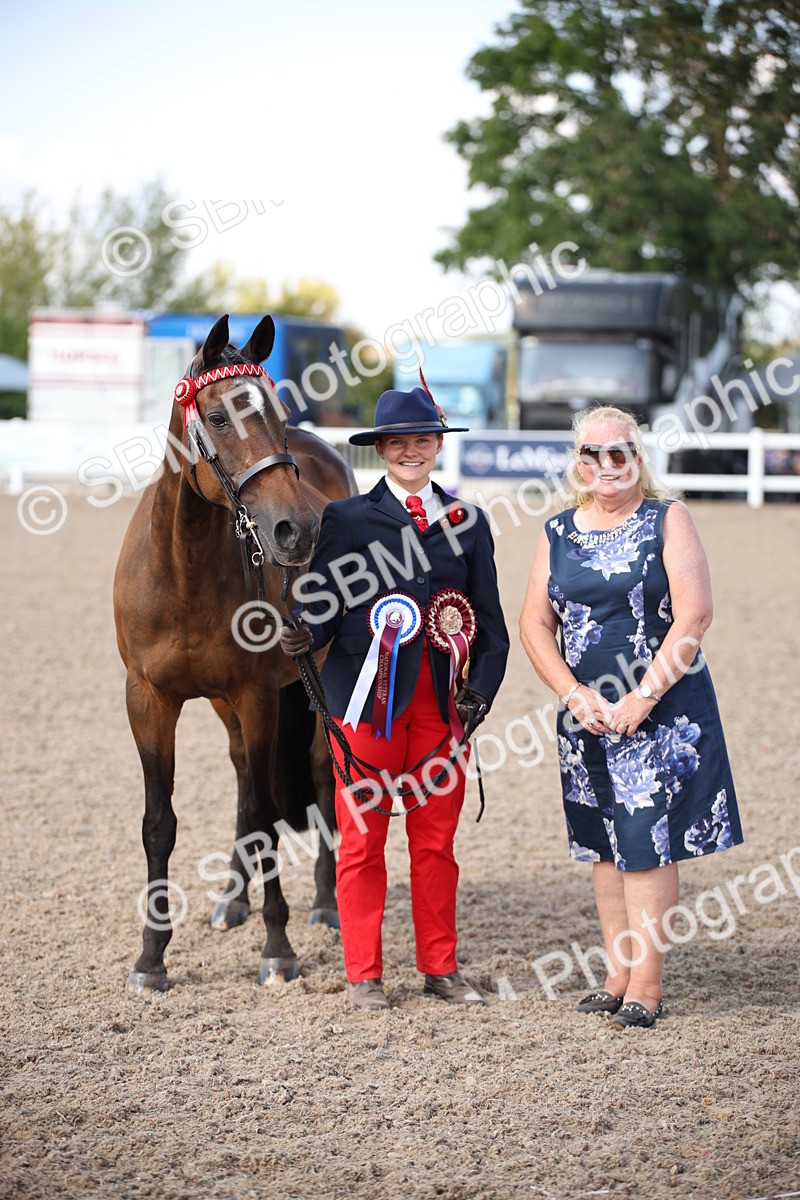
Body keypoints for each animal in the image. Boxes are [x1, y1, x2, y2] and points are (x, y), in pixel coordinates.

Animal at [114, 313, 357, 992]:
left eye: (278, 413)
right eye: (219, 417)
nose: (296, 532)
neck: (183, 570)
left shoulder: (257, 697)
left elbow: (268, 813)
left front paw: (278, 948)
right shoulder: (148, 700)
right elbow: (159, 823)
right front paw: (151, 957)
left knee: (314, 775)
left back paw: (324, 903)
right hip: (227, 706)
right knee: (245, 774)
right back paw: (233, 899)